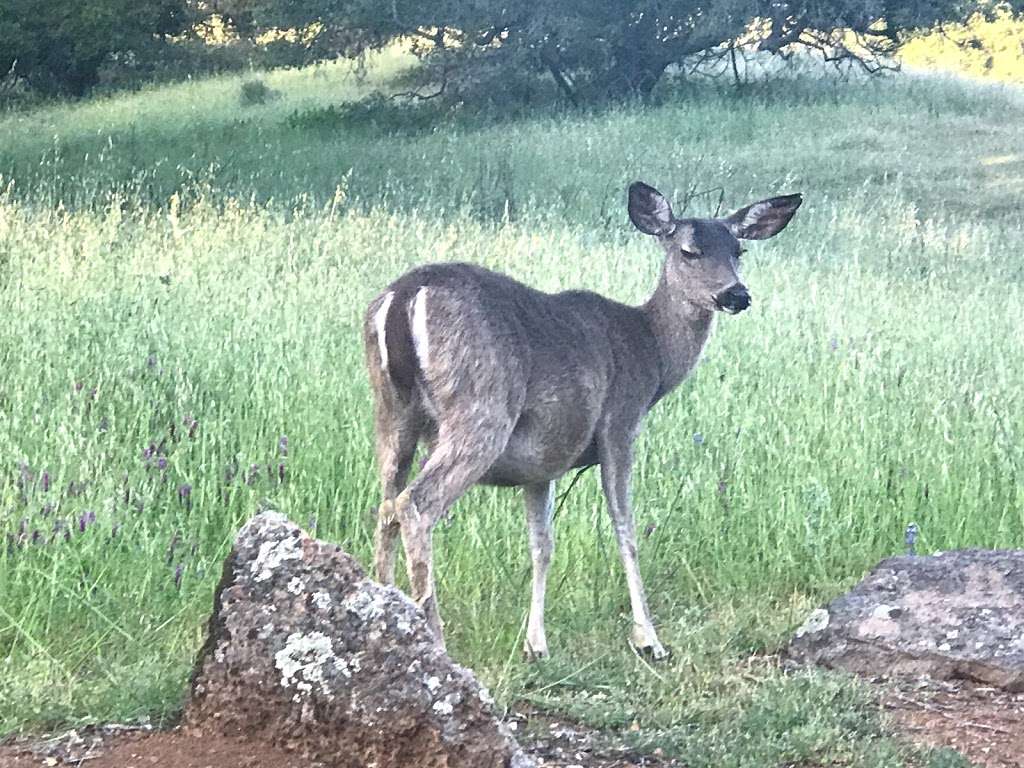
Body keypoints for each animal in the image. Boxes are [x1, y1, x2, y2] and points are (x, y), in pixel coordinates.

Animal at [364, 182, 802, 663]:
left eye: (739, 250)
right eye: (689, 251)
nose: (736, 295)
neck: (653, 355)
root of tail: (404, 297)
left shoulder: (542, 463)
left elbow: (541, 545)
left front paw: (535, 644)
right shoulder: (620, 422)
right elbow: (626, 530)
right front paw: (649, 639)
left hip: (392, 414)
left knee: (385, 504)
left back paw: (384, 608)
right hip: (481, 408)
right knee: (414, 505)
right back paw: (434, 639)